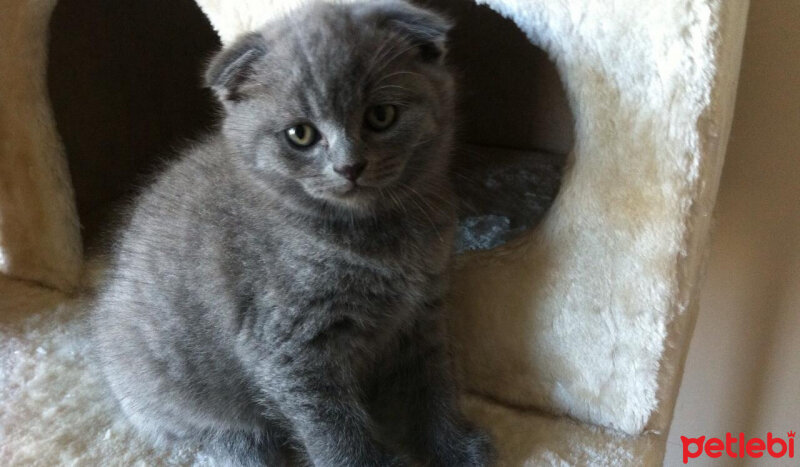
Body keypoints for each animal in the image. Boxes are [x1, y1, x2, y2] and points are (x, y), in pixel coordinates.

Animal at [94, 0, 494, 466]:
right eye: (300, 134)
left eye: (381, 115)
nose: (349, 166)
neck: (377, 237)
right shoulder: (289, 343)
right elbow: (333, 426)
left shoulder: (422, 313)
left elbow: (432, 386)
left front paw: (455, 449)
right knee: (214, 436)